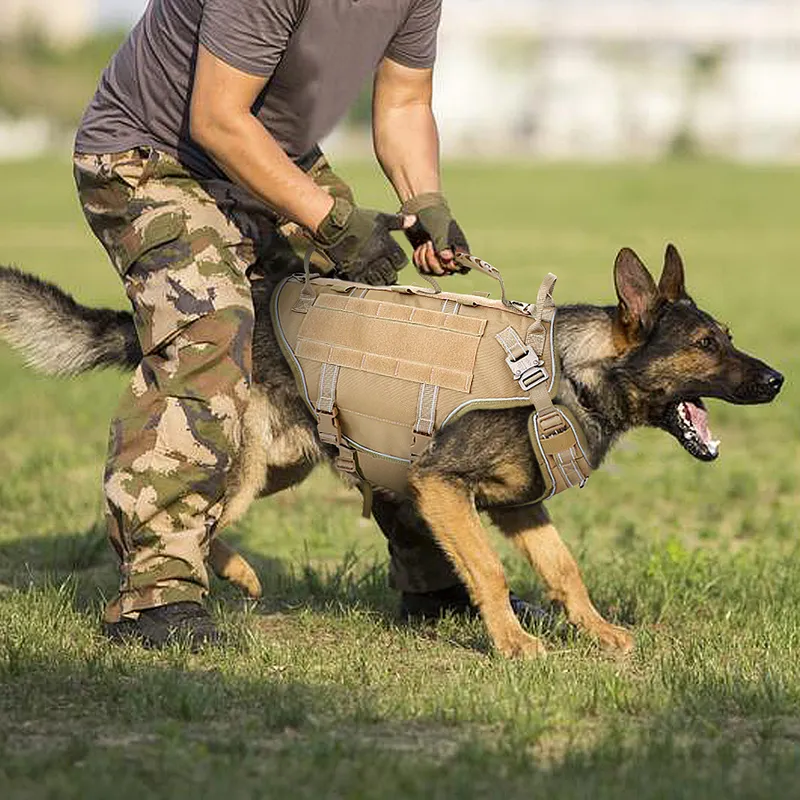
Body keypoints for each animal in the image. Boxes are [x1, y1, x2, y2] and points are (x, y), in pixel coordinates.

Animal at [0, 245, 784, 656]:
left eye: (727, 337)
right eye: (705, 345)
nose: (778, 380)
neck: (564, 371)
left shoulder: (520, 510)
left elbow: (565, 571)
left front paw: (597, 633)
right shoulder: (441, 488)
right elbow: (490, 572)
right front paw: (512, 645)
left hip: (285, 464)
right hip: (245, 463)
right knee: (169, 509)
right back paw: (205, 582)